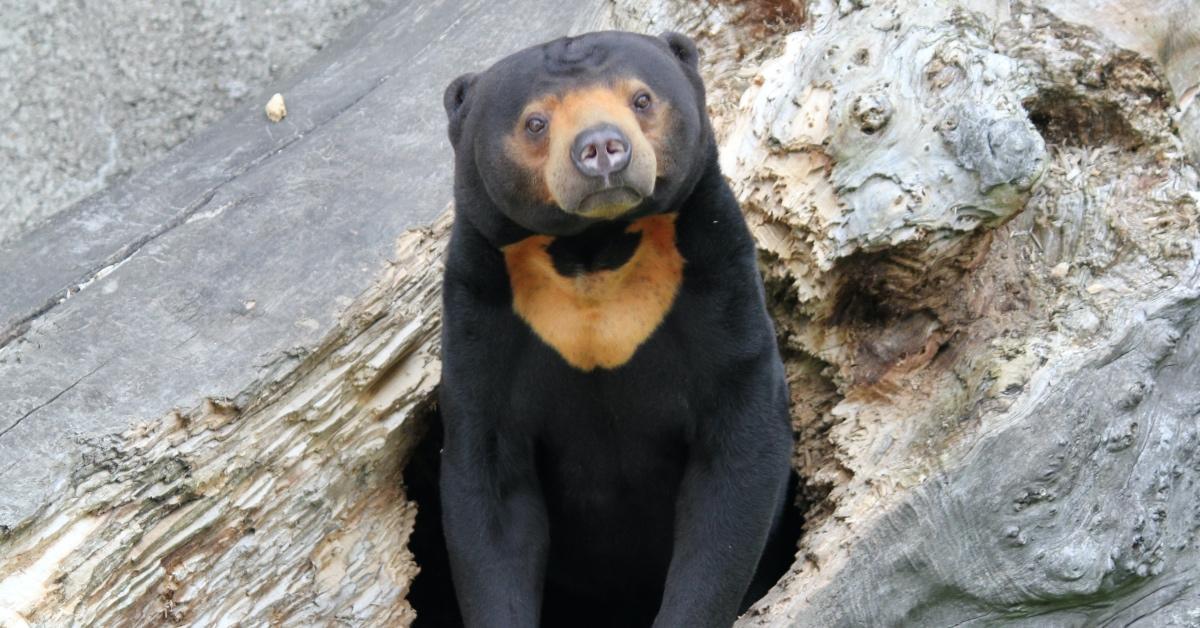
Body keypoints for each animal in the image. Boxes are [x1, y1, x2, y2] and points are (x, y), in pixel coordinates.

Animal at [436, 30, 792, 628]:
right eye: (536, 122)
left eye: (641, 99)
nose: (602, 147)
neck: (593, 252)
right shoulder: (481, 315)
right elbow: (489, 495)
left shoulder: (715, 279)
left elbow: (737, 456)